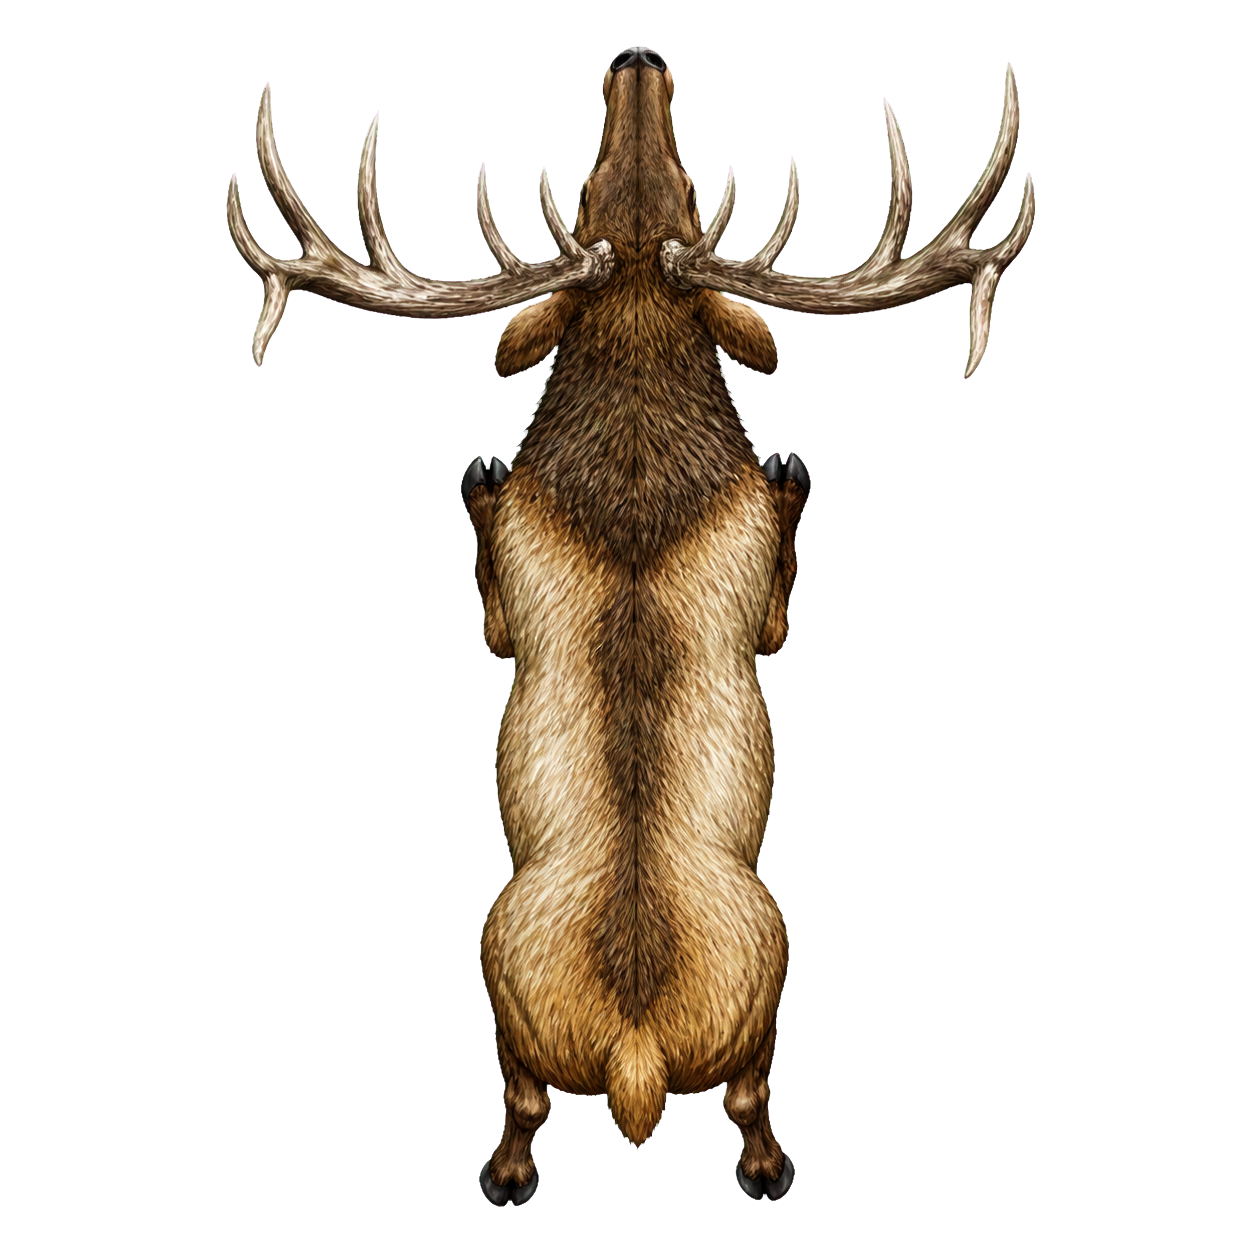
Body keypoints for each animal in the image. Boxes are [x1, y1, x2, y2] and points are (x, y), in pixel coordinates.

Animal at [226, 45, 1034, 1206]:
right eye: (585, 192)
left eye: (687, 192)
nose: (640, 58)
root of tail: (636, 1061)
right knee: (732, 1097)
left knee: (540, 1100)